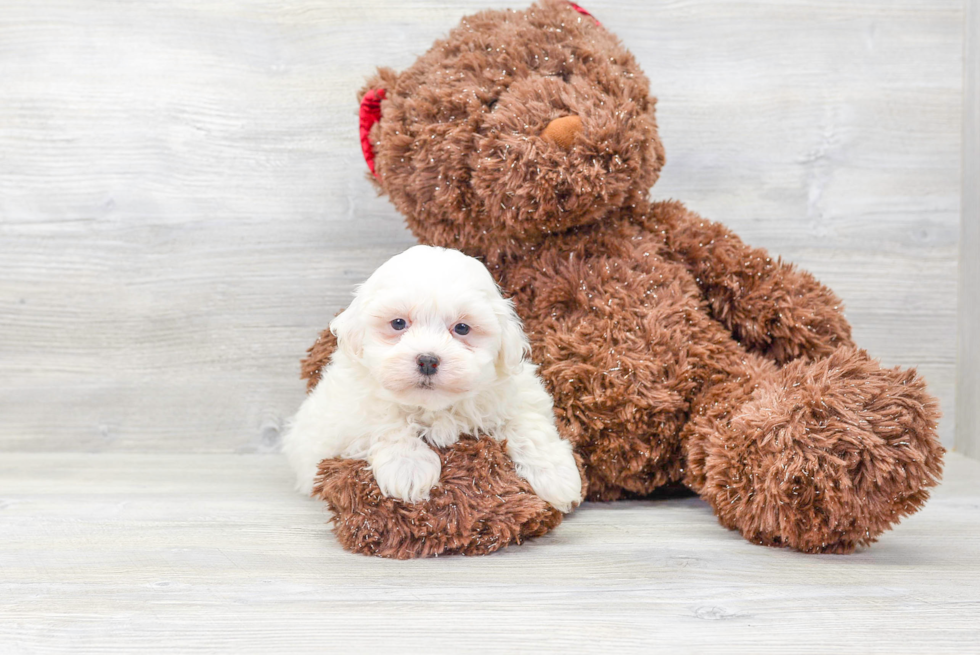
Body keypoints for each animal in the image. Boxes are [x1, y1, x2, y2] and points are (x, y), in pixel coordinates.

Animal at [280, 245, 580, 512]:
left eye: (462, 328)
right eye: (398, 323)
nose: (427, 360)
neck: (434, 407)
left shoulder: (518, 394)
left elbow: (529, 425)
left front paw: (558, 476)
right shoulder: (350, 409)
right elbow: (386, 420)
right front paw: (408, 468)